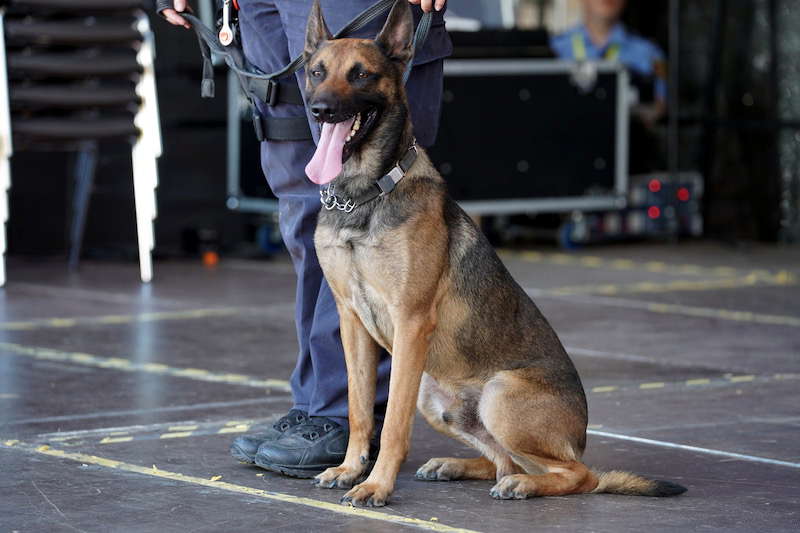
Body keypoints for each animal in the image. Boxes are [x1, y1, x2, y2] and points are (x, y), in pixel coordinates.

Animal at [302, 0, 688, 504]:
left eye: (362, 74)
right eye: (316, 71)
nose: (321, 109)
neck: (363, 195)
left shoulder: (410, 322)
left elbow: (392, 426)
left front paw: (377, 485)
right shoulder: (352, 322)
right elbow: (360, 409)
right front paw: (351, 469)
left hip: (499, 394)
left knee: (577, 474)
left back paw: (525, 484)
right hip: (436, 399)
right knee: (503, 461)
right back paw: (461, 466)